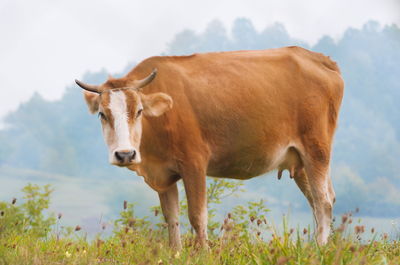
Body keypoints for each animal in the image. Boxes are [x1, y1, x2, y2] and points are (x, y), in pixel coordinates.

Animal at [76, 46, 344, 249]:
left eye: (139, 111)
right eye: (102, 114)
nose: (125, 154)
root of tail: (317, 58)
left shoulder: (194, 162)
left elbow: (197, 216)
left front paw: (203, 252)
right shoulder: (164, 173)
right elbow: (171, 218)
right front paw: (175, 253)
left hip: (316, 149)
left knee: (323, 201)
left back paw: (319, 249)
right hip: (300, 161)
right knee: (319, 201)